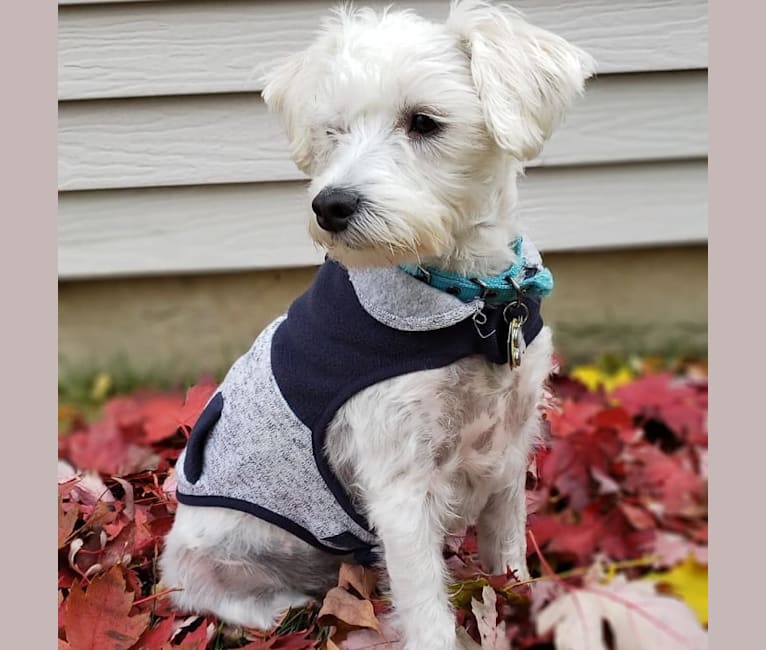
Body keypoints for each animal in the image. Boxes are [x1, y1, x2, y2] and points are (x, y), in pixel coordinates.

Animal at [159, 2, 596, 644]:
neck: (470, 305)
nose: (330, 206)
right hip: (215, 566)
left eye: (425, 122)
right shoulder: (400, 487)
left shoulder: (509, 453)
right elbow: (427, 611)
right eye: (332, 131)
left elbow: (507, 558)